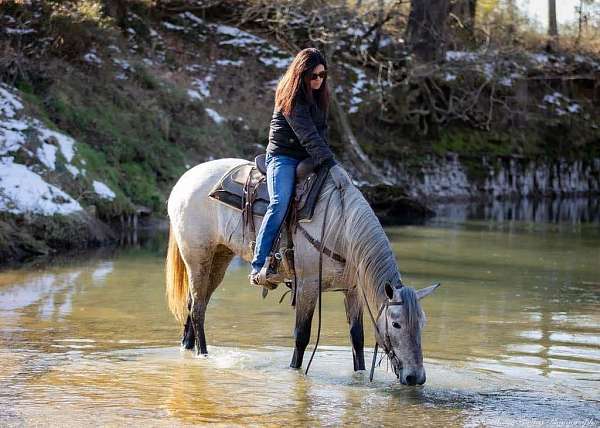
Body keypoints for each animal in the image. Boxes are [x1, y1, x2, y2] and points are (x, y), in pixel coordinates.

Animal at [166, 158, 438, 384]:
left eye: (423, 323)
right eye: (396, 324)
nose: (416, 378)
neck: (342, 227)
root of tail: (185, 178)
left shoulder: (352, 290)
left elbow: (357, 338)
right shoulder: (308, 286)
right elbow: (301, 336)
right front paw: (295, 372)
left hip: (219, 258)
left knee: (194, 304)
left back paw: (187, 348)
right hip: (197, 258)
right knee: (198, 309)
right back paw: (203, 355)